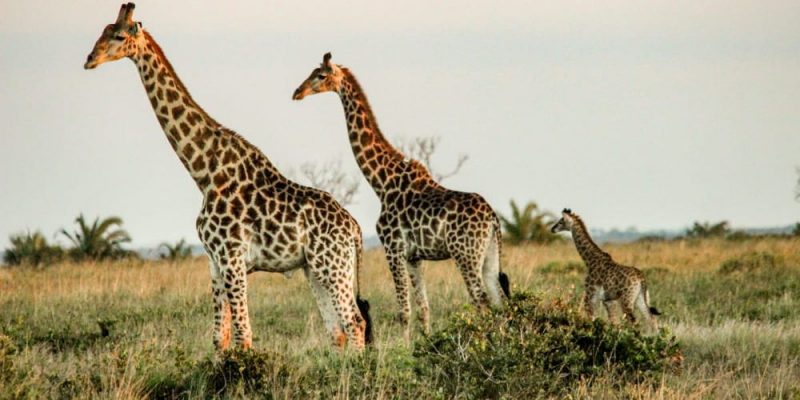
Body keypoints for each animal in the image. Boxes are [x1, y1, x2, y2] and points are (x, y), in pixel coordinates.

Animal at [84, 3, 372, 350]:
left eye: (118, 35)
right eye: (103, 30)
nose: (89, 59)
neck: (205, 172)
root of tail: (355, 229)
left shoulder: (232, 257)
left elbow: (243, 335)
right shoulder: (214, 261)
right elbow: (219, 339)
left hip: (333, 266)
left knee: (354, 321)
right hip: (314, 268)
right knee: (337, 330)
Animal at [290, 51, 510, 340]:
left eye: (321, 75)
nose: (297, 92)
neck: (382, 182)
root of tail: (493, 218)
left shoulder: (392, 248)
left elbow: (403, 310)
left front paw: (404, 346)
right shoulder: (415, 256)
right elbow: (423, 307)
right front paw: (425, 342)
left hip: (466, 254)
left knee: (480, 299)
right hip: (489, 253)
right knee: (498, 299)